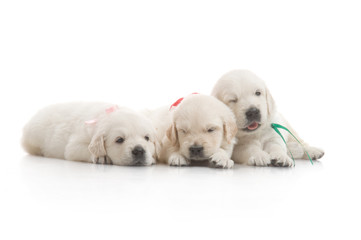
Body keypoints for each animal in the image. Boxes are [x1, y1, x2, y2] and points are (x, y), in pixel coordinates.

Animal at [21, 102, 156, 166]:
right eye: (119, 140)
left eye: (147, 138)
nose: (139, 150)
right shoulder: (74, 145)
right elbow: (84, 149)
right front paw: (101, 157)